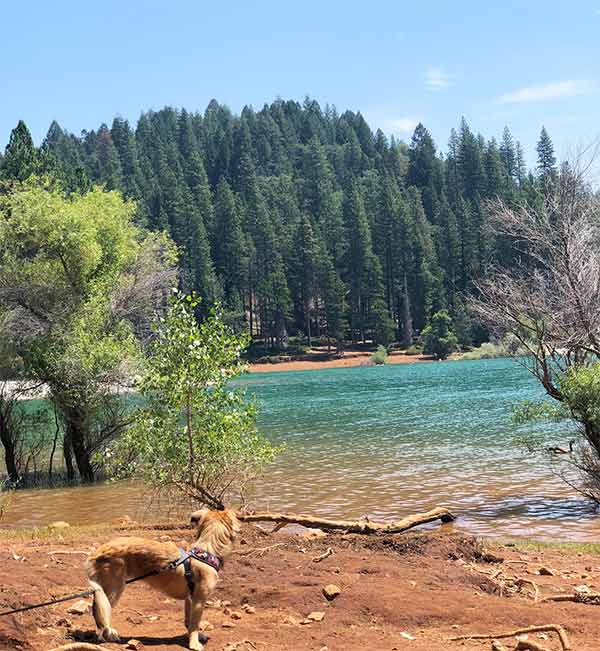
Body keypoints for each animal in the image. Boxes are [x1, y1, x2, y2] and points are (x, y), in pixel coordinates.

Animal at [85, 510, 240, 651]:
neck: (207, 551)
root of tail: (98, 551)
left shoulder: (190, 599)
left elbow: (188, 622)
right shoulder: (199, 600)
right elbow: (195, 624)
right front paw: (194, 644)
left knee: (96, 610)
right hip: (114, 588)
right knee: (101, 611)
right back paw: (108, 635)